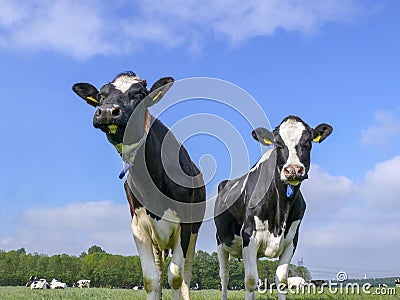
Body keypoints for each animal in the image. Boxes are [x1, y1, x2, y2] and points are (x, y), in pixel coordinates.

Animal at [70, 72, 206, 300]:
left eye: (141, 95)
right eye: (101, 95)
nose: (107, 111)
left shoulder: (184, 226)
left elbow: (176, 277)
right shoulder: (138, 226)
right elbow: (151, 280)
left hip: (194, 230)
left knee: (186, 274)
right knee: (159, 271)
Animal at [214, 115, 332, 300]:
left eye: (308, 141)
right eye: (278, 143)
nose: (293, 170)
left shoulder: (291, 240)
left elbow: (281, 280)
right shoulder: (249, 235)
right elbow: (250, 280)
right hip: (220, 241)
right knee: (224, 275)